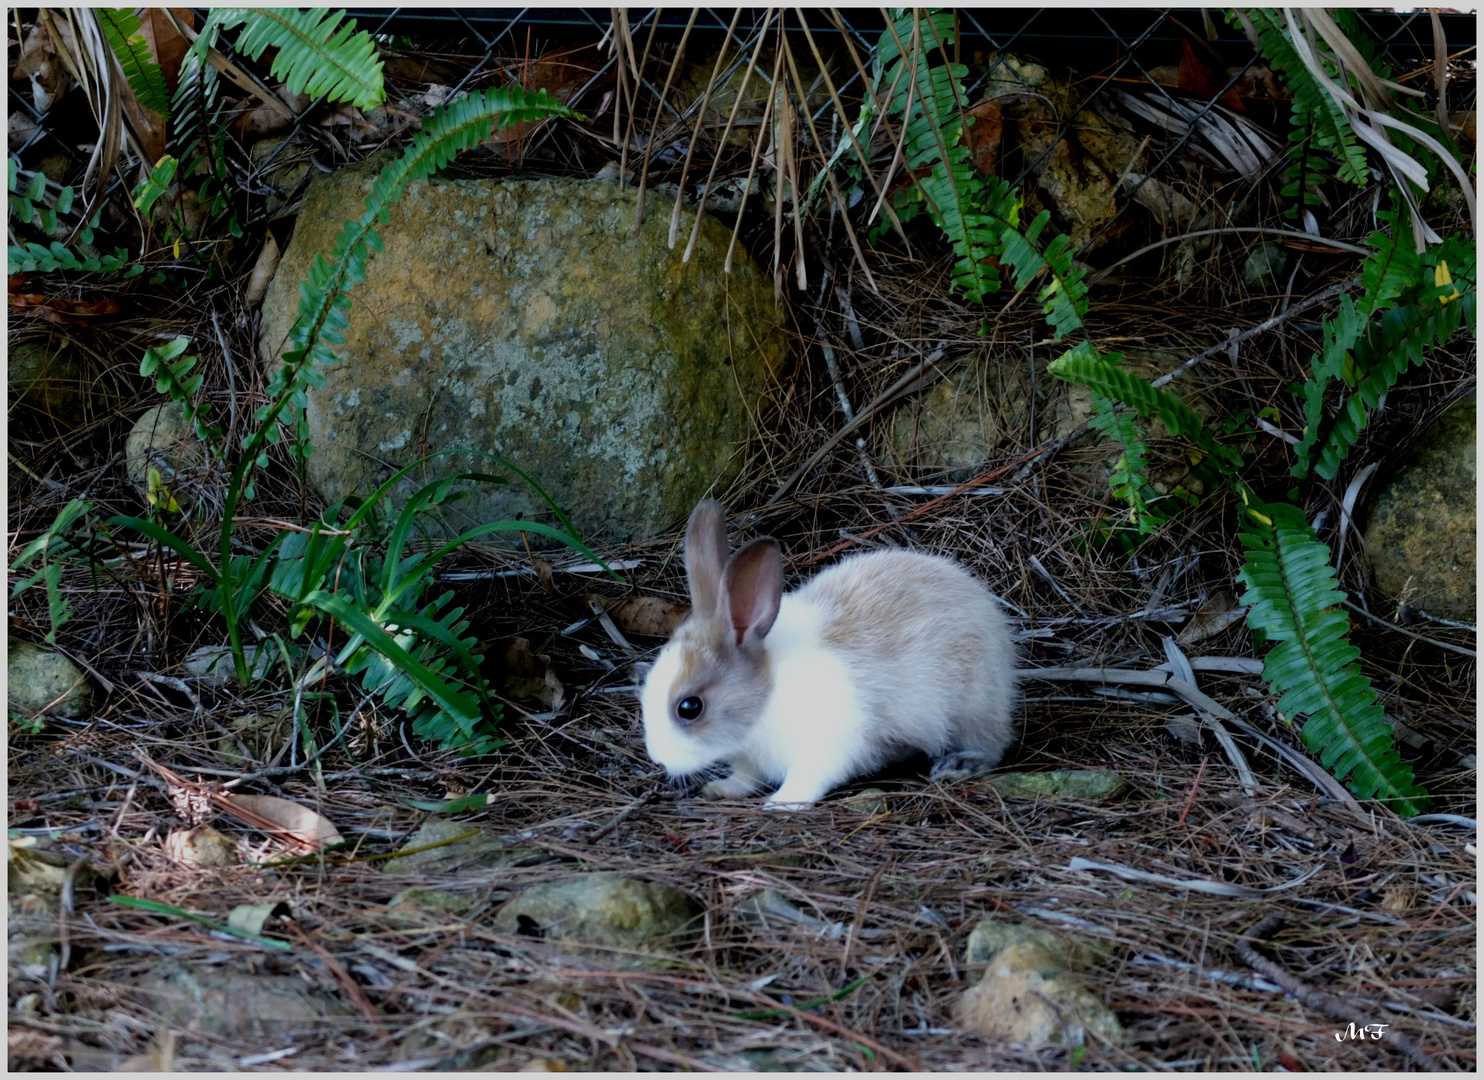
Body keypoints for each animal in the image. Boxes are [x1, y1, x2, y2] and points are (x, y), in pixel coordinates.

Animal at [641, 501, 1020, 807]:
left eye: (689, 707)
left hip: (974, 707)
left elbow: (808, 779)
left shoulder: (826, 746)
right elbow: (745, 779)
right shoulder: (749, 760)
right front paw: (721, 789)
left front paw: (780, 804)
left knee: (992, 745)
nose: (658, 759)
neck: (767, 691)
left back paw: (959, 765)